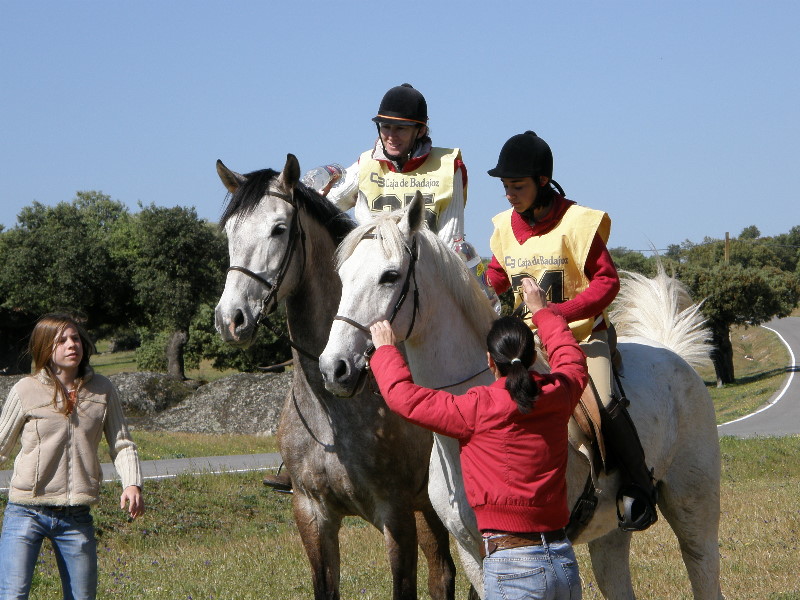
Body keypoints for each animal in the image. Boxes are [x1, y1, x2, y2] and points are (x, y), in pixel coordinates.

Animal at [318, 195, 724, 596]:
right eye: (342, 277)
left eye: (390, 276)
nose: (334, 368)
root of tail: (671, 353)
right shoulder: (473, 554)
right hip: (609, 534)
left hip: (693, 508)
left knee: (702, 567)